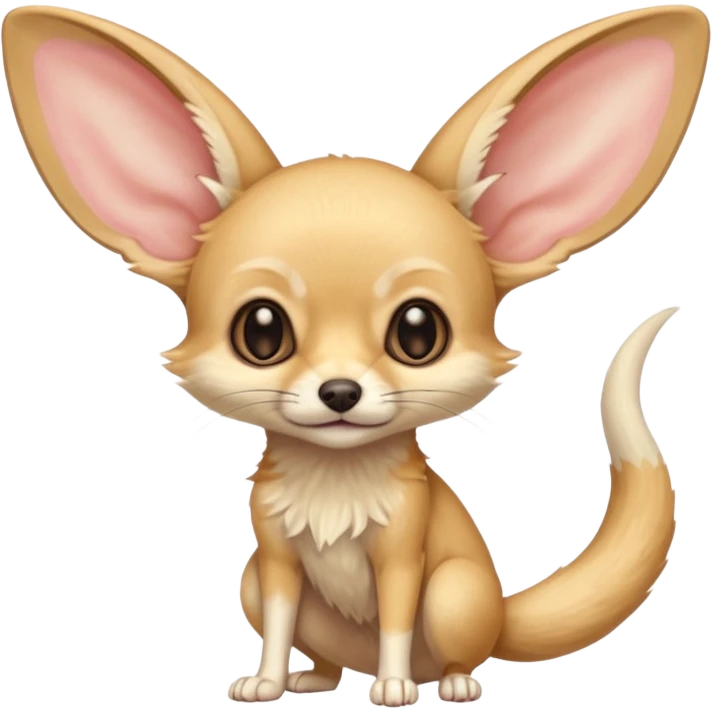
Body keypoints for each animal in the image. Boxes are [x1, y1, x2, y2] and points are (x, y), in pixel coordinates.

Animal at [1, 3, 705, 706]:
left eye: (418, 333)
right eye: (261, 333)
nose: (339, 392)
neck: (334, 484)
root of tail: (504, 615)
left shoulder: (403, 556)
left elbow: (395, 617)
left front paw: (393, 687)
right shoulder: (275, 559)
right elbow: (279, 621)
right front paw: (267, 680)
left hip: (455, 592)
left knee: (455, 647)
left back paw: (450, 682)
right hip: (253, 581)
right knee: (322, 652)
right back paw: (314, 677)